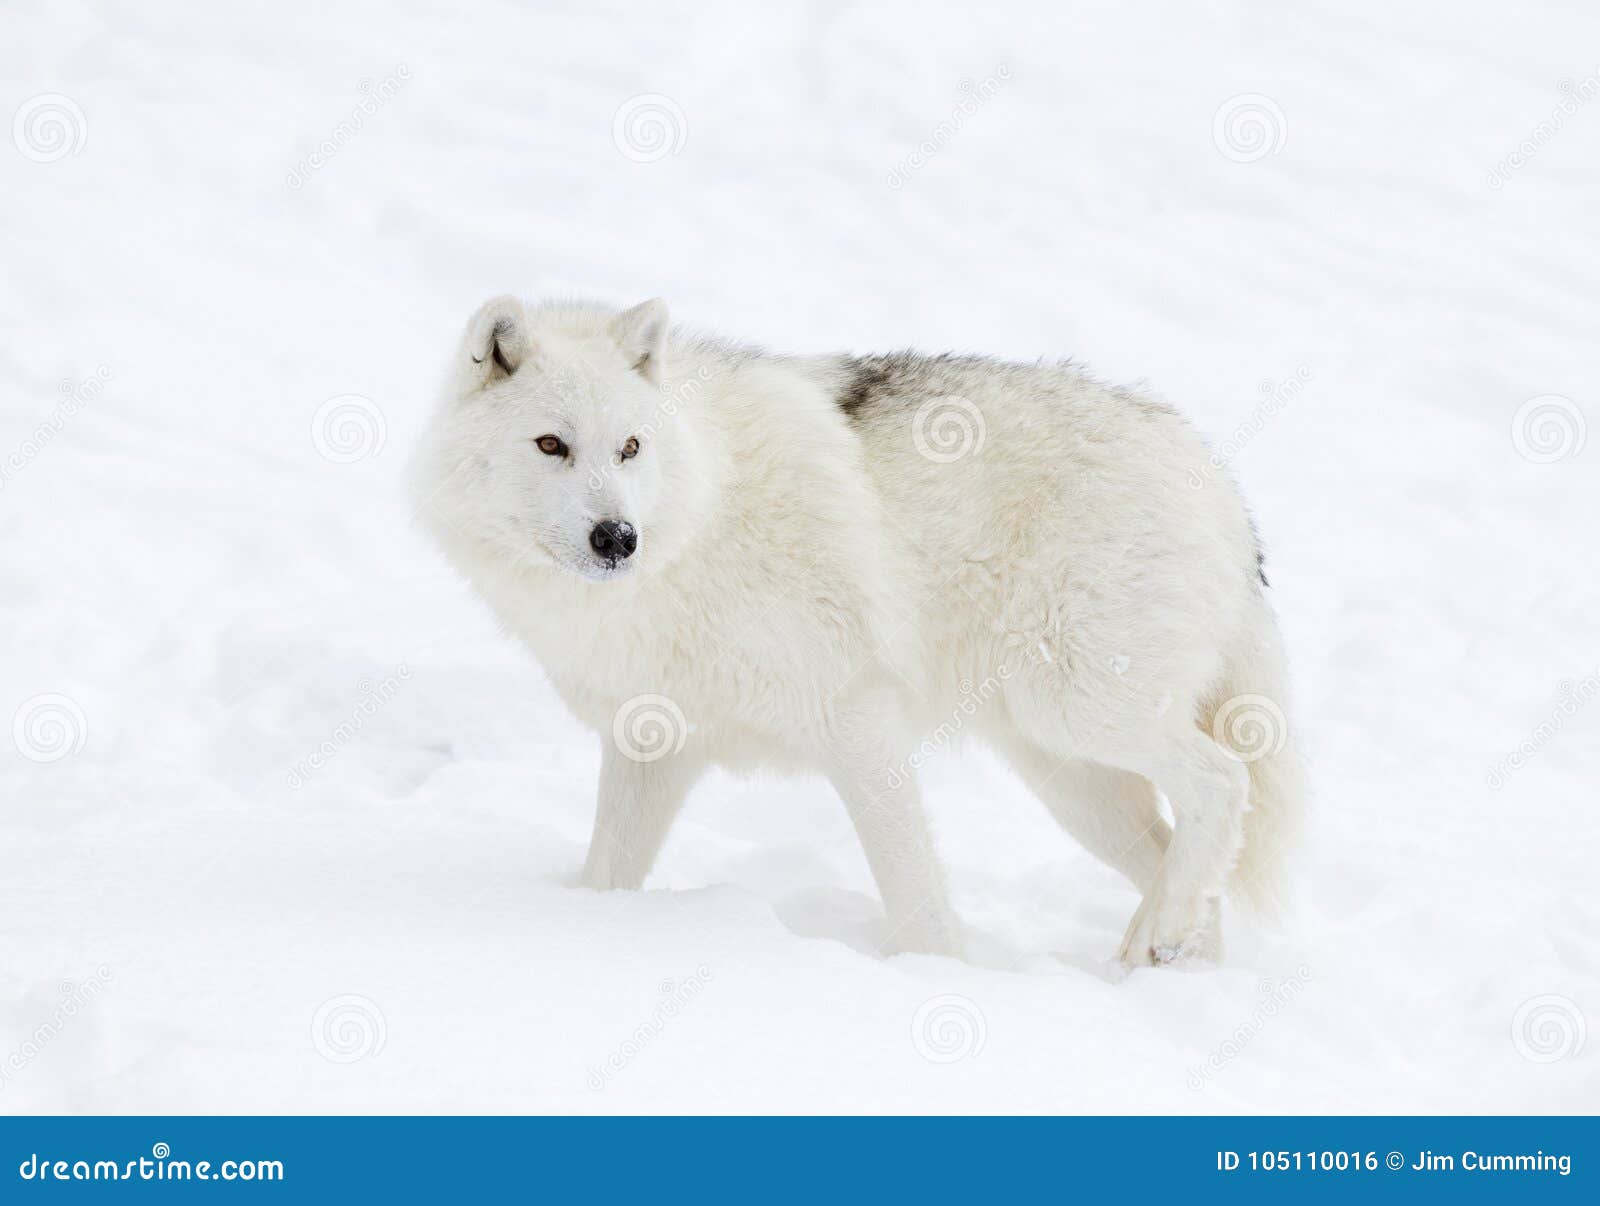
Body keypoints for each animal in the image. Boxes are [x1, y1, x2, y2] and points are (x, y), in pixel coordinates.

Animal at [412, 295, 1299, 966]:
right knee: (1189, 858)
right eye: (551, 445)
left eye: (630, 447)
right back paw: (1166, 962)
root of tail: (1216, 473)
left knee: (1225, 784)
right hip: (1074, 784)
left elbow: (916, 894)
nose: (618, 538)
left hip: (1076, 714)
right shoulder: (650, 748)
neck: (699, 526)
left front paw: (937, 977)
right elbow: (606, 877)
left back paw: (1160, 939)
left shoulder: (857, 725)